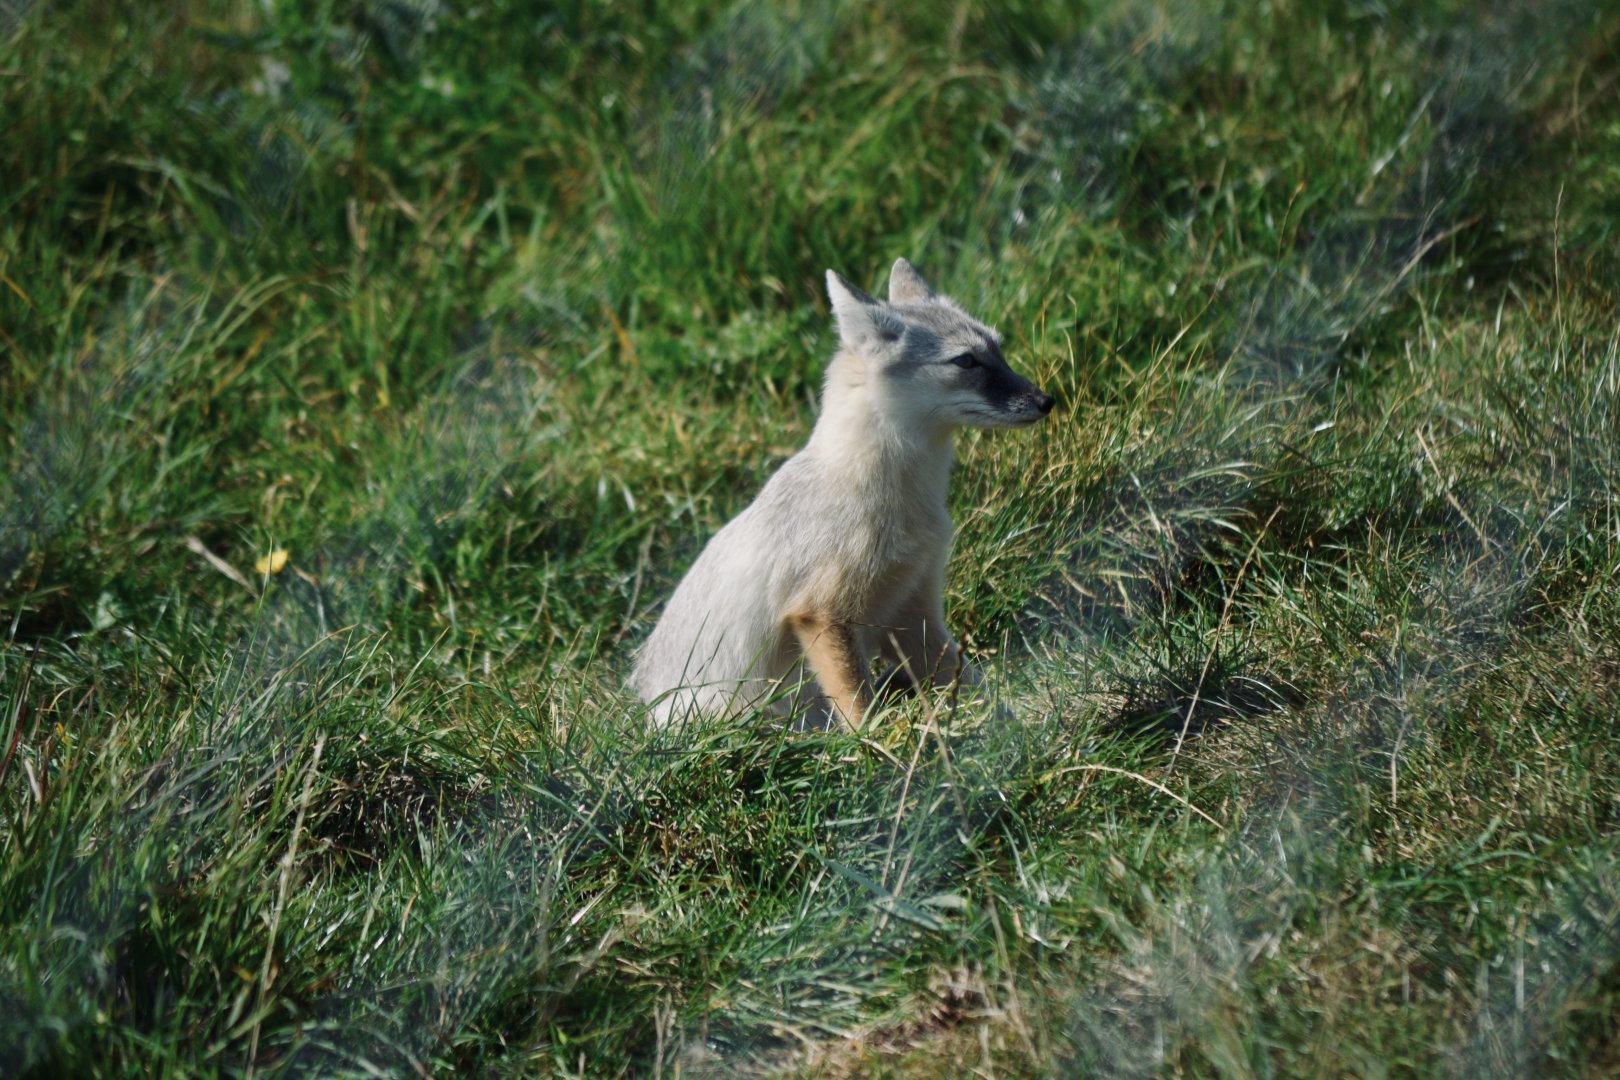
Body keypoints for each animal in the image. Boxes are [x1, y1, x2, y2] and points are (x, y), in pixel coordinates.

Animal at [630, 258, 1054, 728]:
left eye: (998, 350)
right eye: (966, 361)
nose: (1046, 400)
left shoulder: (913, 610)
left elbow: (970, 683)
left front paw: (1016, 730)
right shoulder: (822, 612)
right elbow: (859, 705)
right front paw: (877, 743)